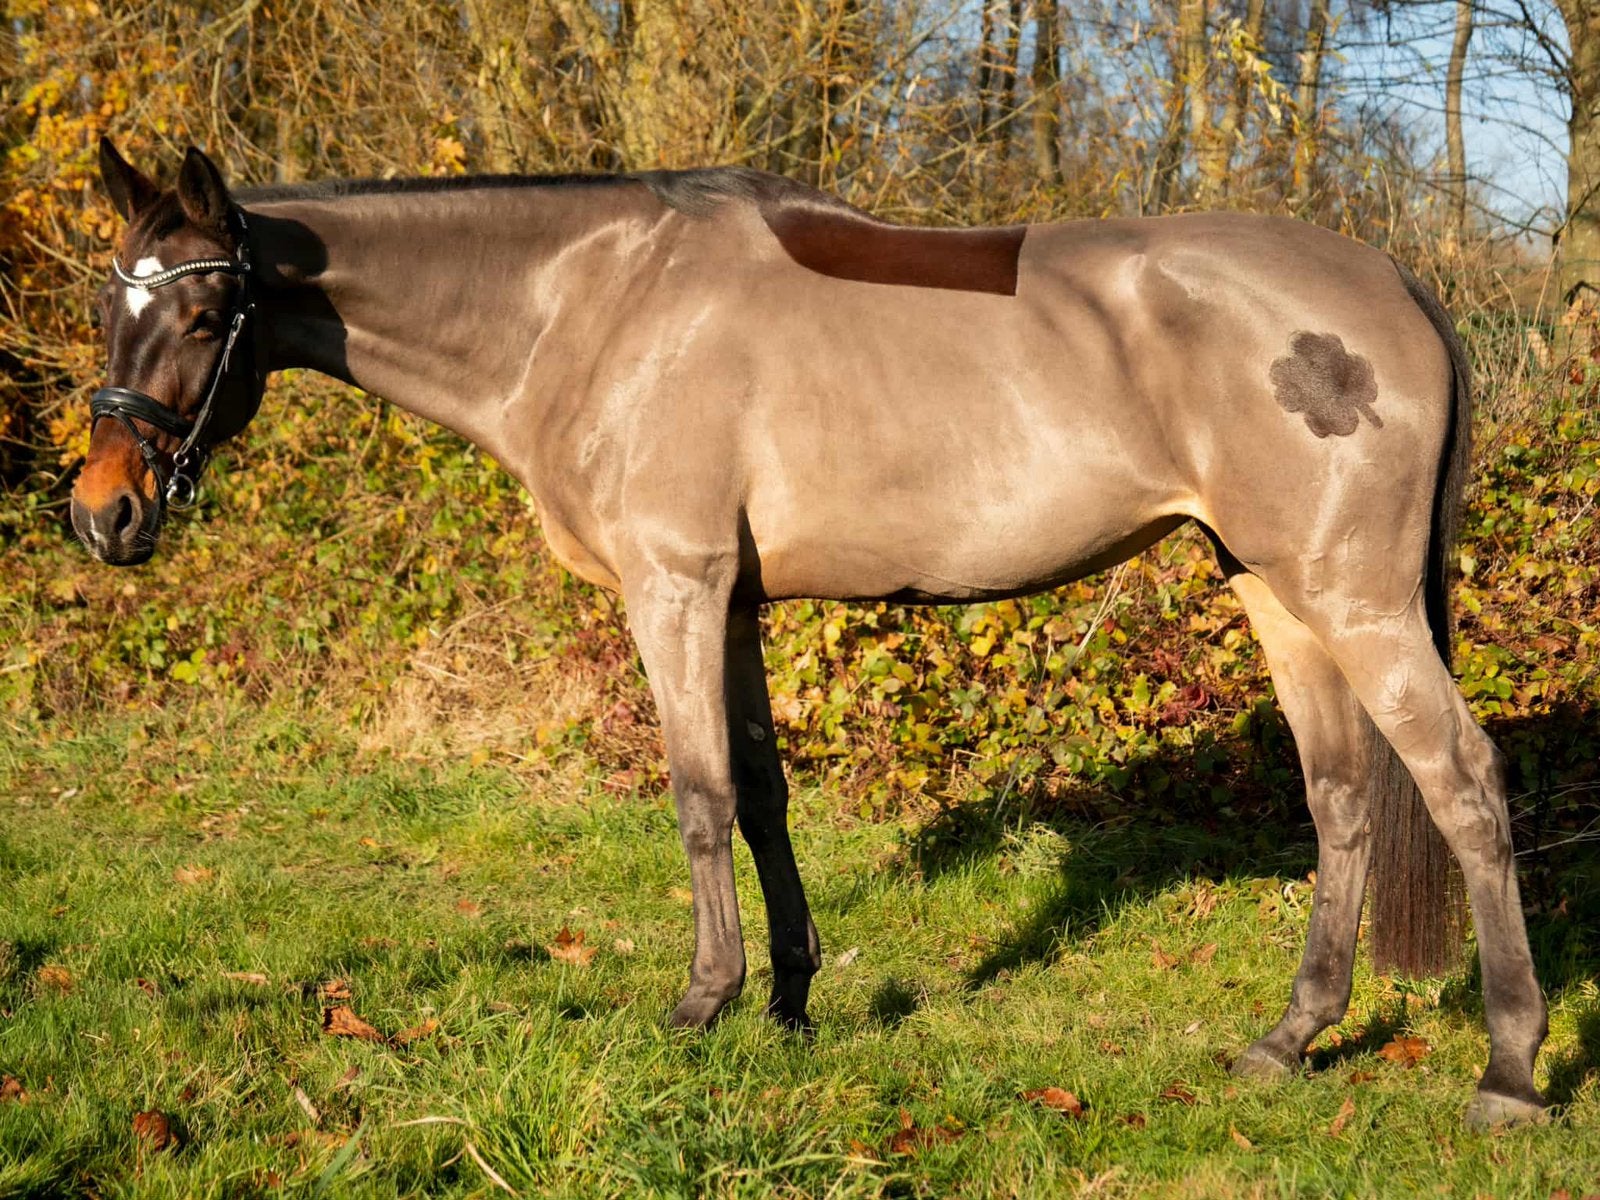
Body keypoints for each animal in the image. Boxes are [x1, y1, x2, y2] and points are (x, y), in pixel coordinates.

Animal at [71, 138, 1547, 1127]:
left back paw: (1511, 1069)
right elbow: (766, 794)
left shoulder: (671, 585)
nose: (104, 514)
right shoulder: (732, 601)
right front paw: (787, 998)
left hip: (1353, 597)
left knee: (1462, 784)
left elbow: (698, 795)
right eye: (104, 305)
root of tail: (1394, 286)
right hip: (1276, 590)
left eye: (202, 313)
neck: (589, 306)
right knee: (1343, 796)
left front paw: (701, 1001)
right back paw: (1288, 1039)